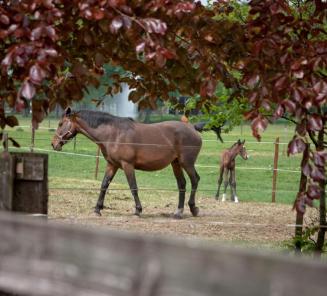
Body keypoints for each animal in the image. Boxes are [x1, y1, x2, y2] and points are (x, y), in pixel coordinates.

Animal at [51, 107, 202, 219]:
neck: (114, 134)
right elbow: (104, 185)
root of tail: (193, 129)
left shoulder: (127, 165)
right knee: (182, 184)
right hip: (175, 163)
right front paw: (97, 209)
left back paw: (193, 208)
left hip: (187, 163)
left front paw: (138, 210)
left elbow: (133, 187)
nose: (54, 144)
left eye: (60, 124)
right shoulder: (112, 165)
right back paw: (178, 212)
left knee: (195, 180)